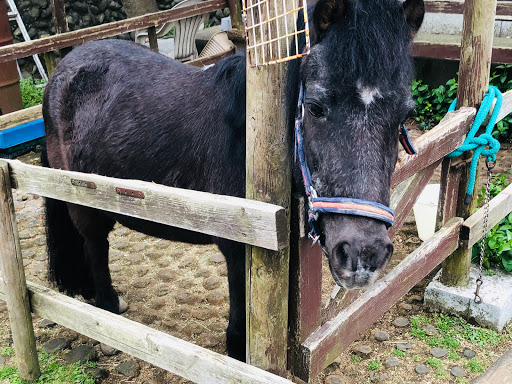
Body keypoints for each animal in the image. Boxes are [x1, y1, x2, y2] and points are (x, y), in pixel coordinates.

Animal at [41, 0, 424, 360]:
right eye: (315, 107)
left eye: (405, 114)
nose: (364, 254)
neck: (246, 137)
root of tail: (63, 70)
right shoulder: (240, 247)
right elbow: (241, 315)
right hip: (83, 200)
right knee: (95, 245)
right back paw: (107, 312)